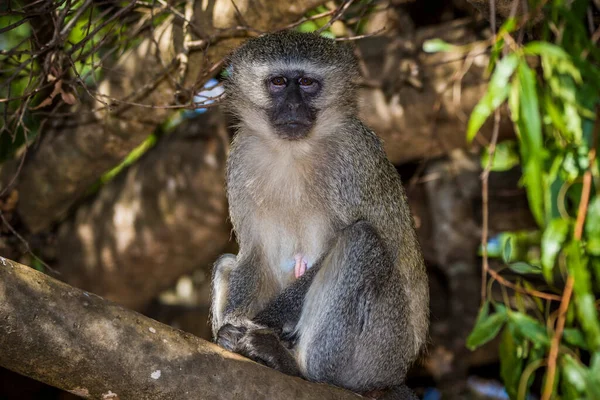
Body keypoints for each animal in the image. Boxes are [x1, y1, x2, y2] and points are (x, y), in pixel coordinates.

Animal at [211, 31, 426, 400]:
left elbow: (340, 244)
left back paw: (296, 365)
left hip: (381, 350)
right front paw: (232, 323)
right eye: (279, 82)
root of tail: (396, 375)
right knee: (227, 263)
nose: (293, 107)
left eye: (307, 83)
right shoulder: (241, 158)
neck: (293, 151)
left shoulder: (353, 158)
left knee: (360, 241)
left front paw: (259, 324)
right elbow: (253, 254)